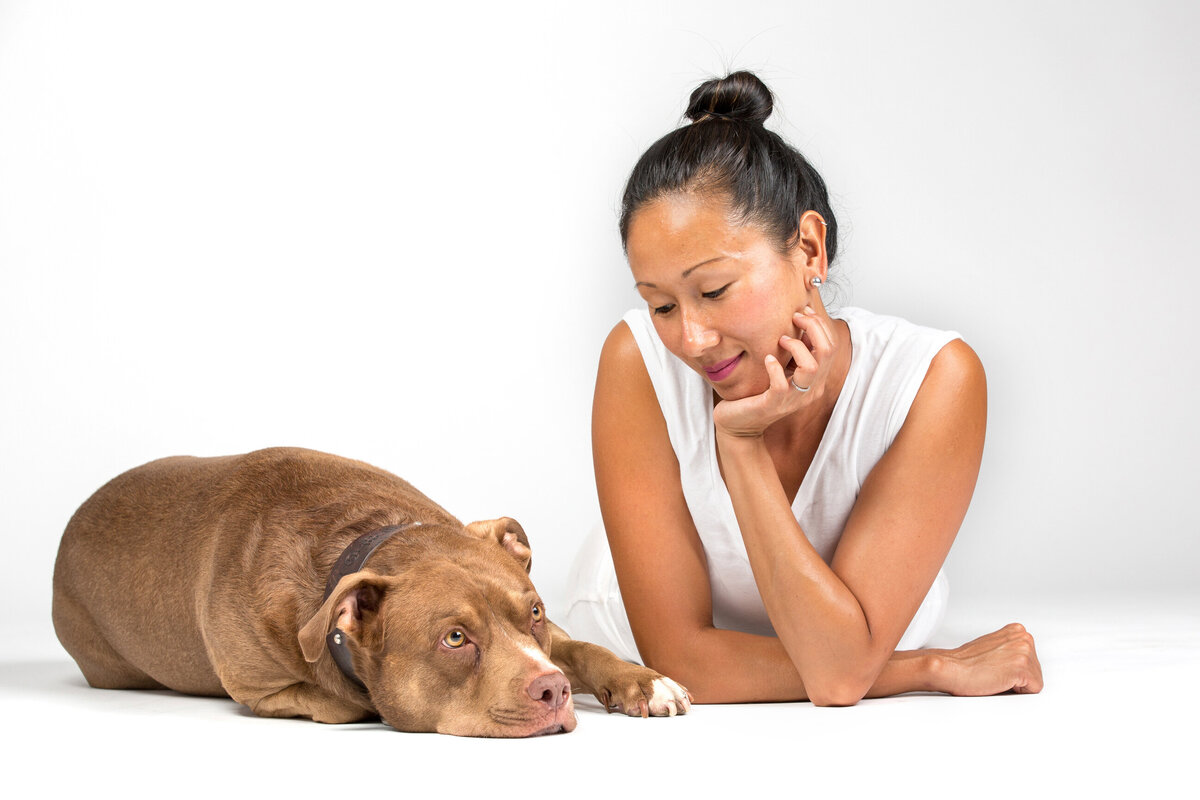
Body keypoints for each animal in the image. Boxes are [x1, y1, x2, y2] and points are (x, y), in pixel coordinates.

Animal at [51, 448, 691, 734]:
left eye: (533, 611)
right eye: (454, 638)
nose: (553, 690)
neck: (370, 539)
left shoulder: (547, 636)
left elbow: (584, 647)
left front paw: (643, 681)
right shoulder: (261, 689)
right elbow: (341, 701)